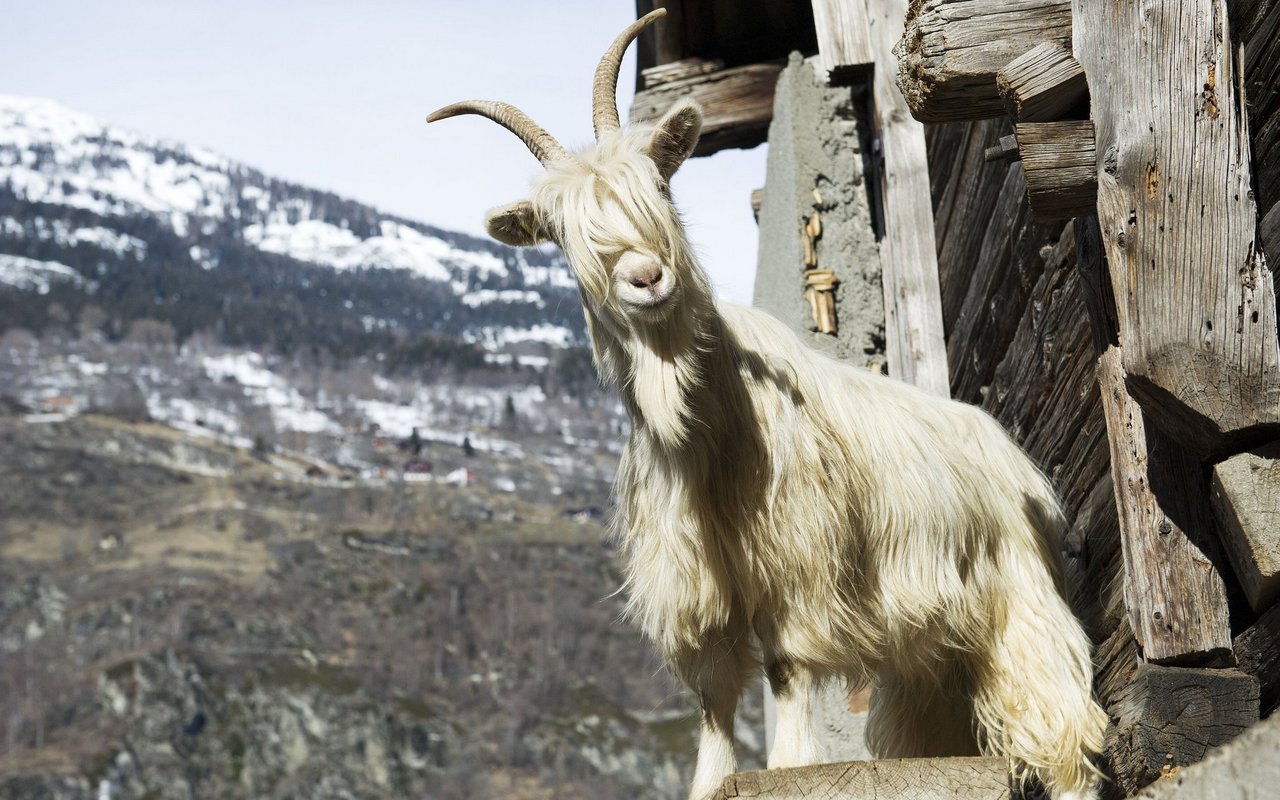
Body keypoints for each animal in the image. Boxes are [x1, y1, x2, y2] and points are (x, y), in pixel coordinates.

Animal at [424, 12, 1105, 798]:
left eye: (659, 186)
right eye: (560, 230)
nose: (646, 278)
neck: (708, 431)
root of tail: (1010, 451)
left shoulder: (797, 574)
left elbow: (787, 676)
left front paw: (789, 765)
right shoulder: (699, 594)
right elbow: (715, 708)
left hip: (1016, 590)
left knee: (1058, 714)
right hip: (930, 646)